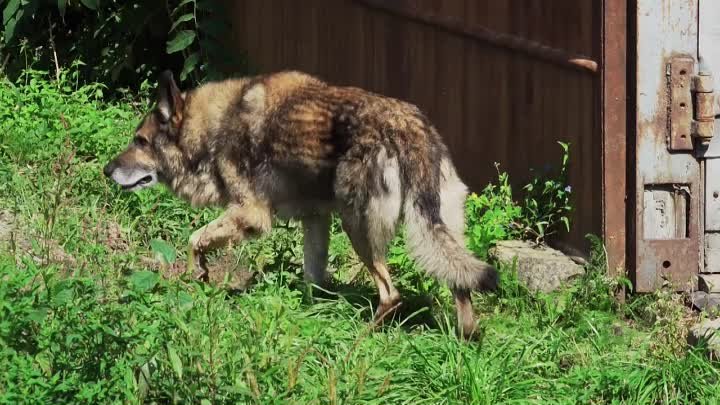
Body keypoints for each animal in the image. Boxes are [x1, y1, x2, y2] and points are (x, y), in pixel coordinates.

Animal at [104, 70, 498, 338]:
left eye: (140, 141)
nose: (106, 170)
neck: (214, 127)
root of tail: (410, 128)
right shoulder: (315, 221)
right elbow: (313, 281)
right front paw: (306, 318)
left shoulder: (252, 214)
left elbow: (194, 239)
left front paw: (199, 274)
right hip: (438, 233)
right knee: (460, 286)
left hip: (358, 229)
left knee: (391, 295)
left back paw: (360, 339)